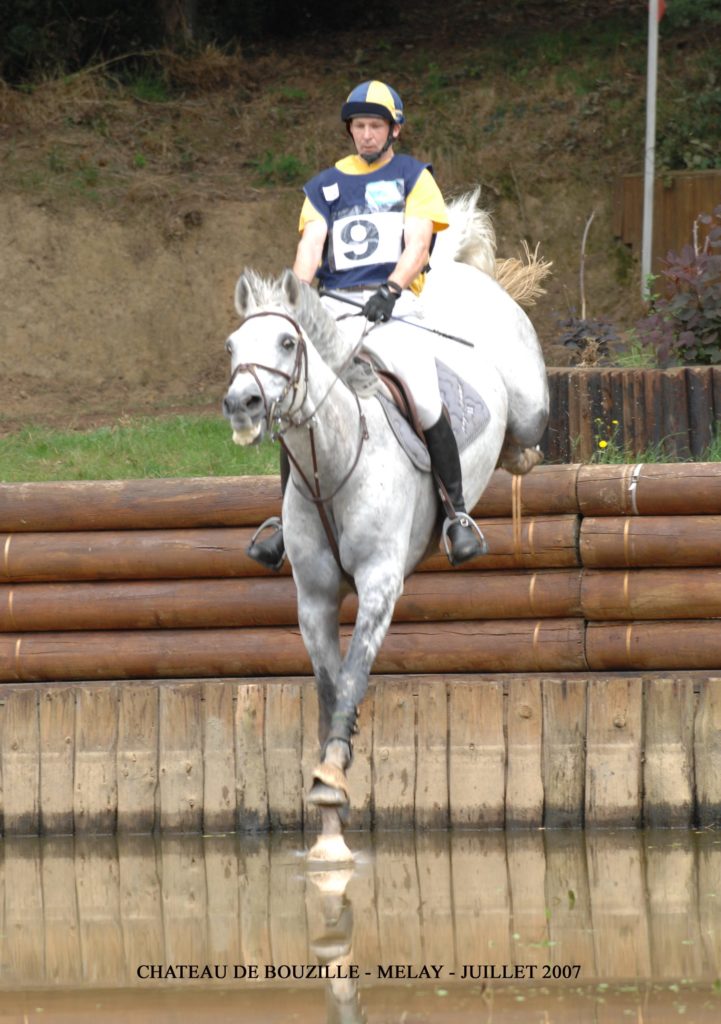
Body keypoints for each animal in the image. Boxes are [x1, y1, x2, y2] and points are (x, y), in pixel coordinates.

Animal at [222, 190, 548, 856]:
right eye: (233, 348)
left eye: (287, 344)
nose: (242, 405)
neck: (333, 460)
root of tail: (454, 275)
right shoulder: (315, 597)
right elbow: (328, 686)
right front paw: (332, 785)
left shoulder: (378, 585)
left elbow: (352, 676)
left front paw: (329, 781)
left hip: (528, 402)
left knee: (525, 439)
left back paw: (494, 486)